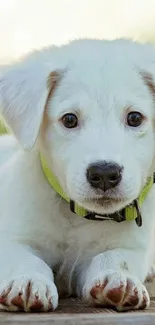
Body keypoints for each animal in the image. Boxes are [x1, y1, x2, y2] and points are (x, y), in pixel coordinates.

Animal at [0, 38, 155, 312]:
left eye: (135, 117)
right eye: (69, 119)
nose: (104, 173)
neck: (75, 216)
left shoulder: (133, 248)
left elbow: (114, 256)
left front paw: (118, 277)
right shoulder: (11, 237)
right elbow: (24, 258)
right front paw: (27, 280)